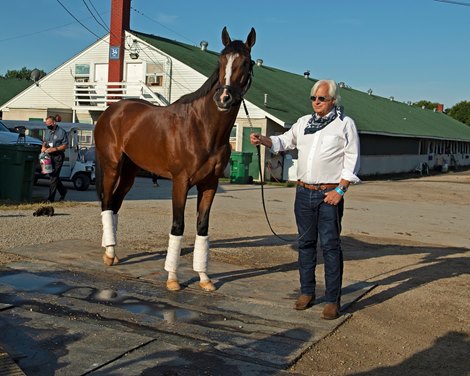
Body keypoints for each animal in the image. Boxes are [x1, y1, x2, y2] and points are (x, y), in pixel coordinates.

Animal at [93, 28, 255, 294]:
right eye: (221, 61)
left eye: (246, 62)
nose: (223, 98)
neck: (203, 128)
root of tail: (110, 112)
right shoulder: (180, 182)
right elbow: (178, 226)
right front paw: (172, 278)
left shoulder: (209, 184)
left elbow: (202, 228)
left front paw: (204, 278)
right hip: (112, 167)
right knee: (107, 203)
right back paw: (108, 256)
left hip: (129, 172)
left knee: (115, 204)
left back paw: (113, 253)